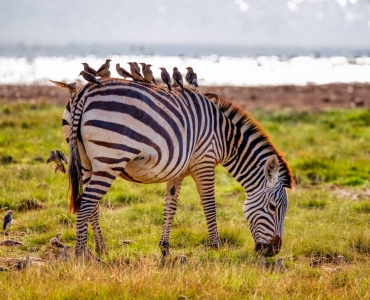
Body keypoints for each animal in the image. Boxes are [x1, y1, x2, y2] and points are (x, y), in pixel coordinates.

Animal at [63, 77, 294, 258]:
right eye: (273, 207)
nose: (274, 251)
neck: (225, 137)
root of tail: (85, 91)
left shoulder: (178, 171)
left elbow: (170, 208)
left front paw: (165, 248)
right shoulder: (205, 162)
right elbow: (209, 205)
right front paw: (216, 247)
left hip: (86, 162)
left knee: (91, 204)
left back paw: (100, 249)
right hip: (110, 158)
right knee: (87, 203)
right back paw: (80, 254)